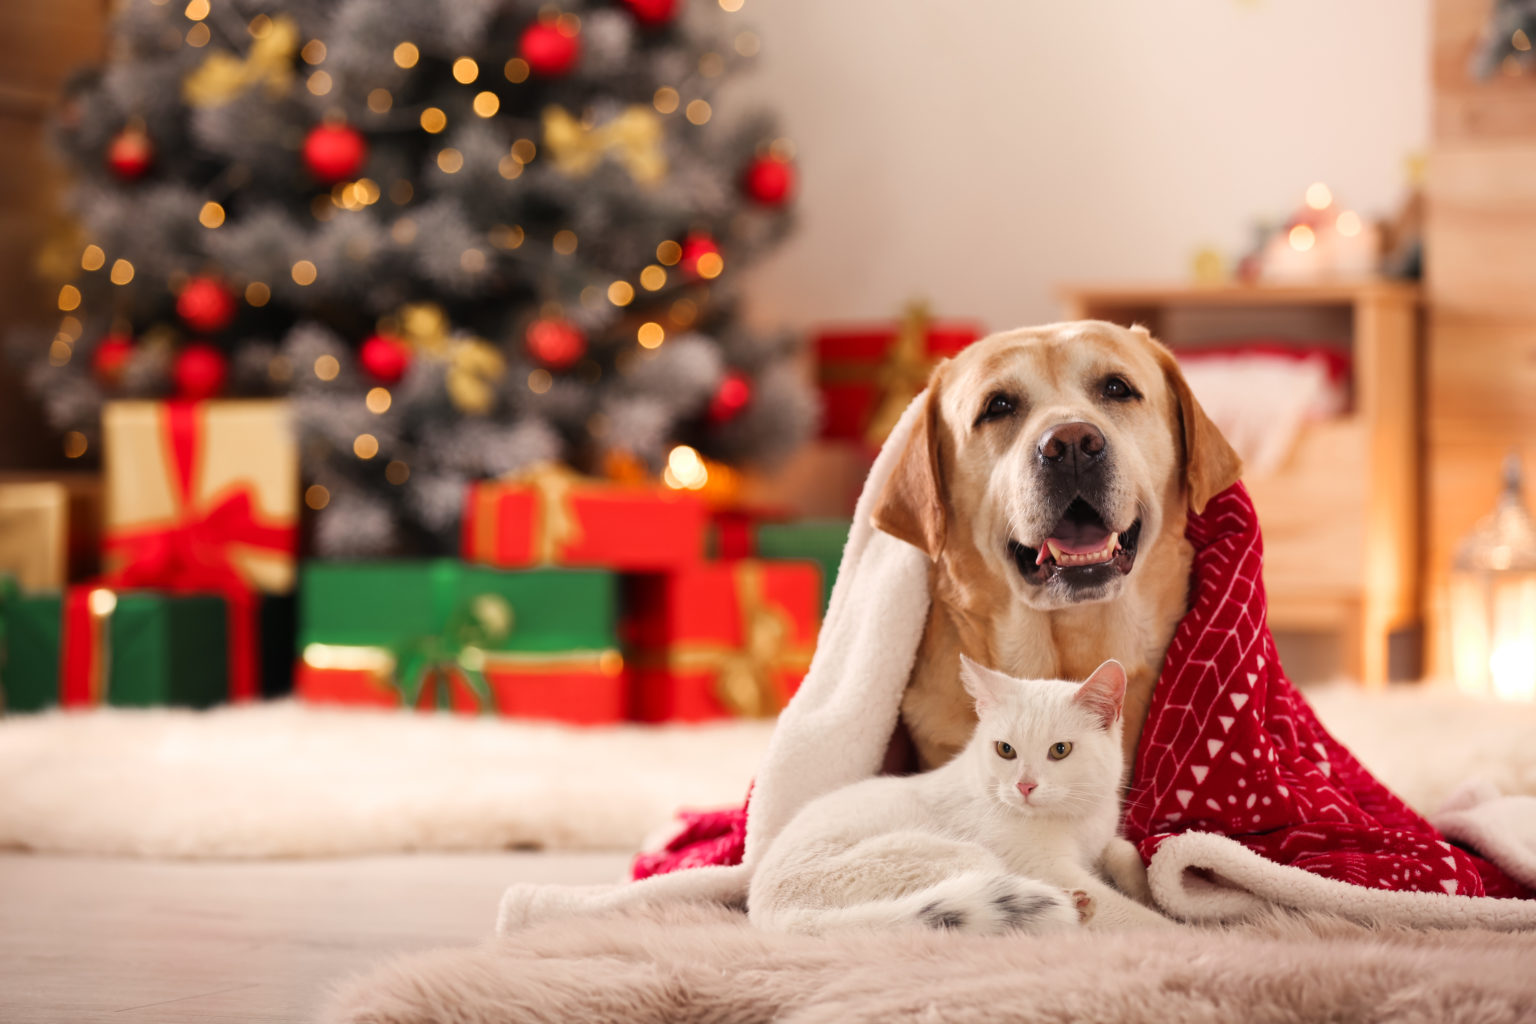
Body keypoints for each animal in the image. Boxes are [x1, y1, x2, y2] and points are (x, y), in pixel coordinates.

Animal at [746, 657, 1161, 939]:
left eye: (1060, 750)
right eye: (1005, 750)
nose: (1024, 786)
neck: (1074, 817)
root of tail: (776, 919)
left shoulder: (1101, 839)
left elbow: (1121, 849)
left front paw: (1145, 886)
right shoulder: (1043, 865)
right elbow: (1135, 917)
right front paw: (1171, 929)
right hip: (958, 857)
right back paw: (1075, 906)